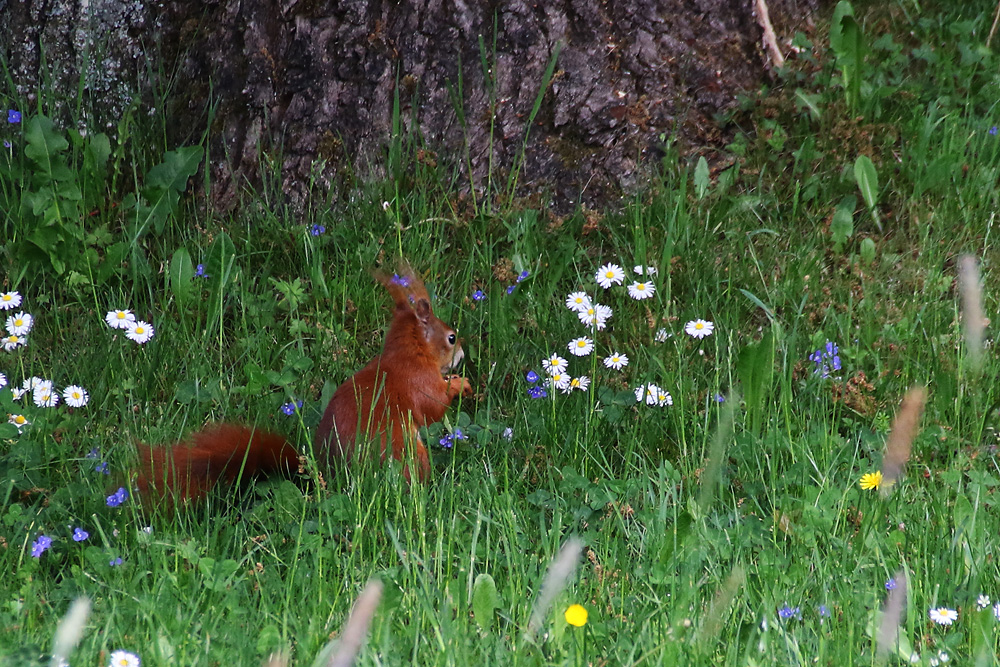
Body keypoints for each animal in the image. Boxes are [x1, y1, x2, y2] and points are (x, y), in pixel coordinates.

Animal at [134, 266, 472, 500]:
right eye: (451, 337)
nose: (462, 354)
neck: (408, 354)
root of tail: (330, 478)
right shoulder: (417, 381)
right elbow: (434, 406)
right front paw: (459, 384)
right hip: (408, 454)